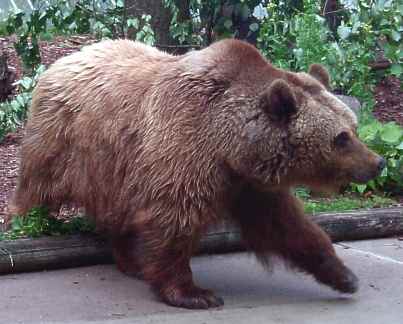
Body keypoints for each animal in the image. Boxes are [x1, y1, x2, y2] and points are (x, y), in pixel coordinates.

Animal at [9, 39, 386, 310]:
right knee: (37, 187)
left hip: (114, 172)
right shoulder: (186, 152)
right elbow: (174, 220)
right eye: (341, 137)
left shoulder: (248, 185)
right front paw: (195, 293)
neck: (230, 145)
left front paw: (343, 275)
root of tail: (66, 57)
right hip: (65, 144)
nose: (378, 162)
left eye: (353, 126)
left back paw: (130, 259)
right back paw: (30, 217)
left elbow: (288, 226)